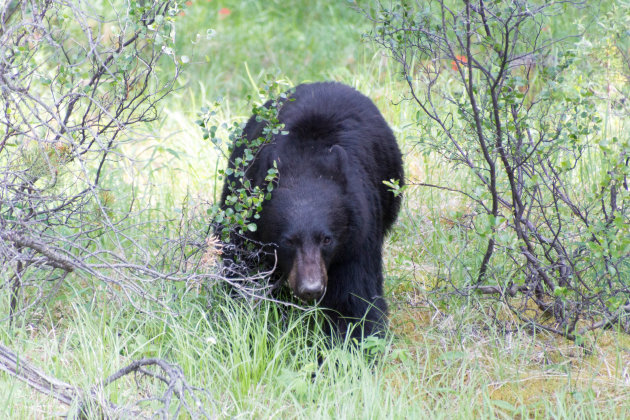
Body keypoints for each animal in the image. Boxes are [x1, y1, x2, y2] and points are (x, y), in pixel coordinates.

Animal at [221, 83, 404, 342]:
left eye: (327, 239)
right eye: (288, 241)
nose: (311, 289)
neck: (305, 159)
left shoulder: (357, 237)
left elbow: (356, 298)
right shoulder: (246, 222)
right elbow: (242, 274)